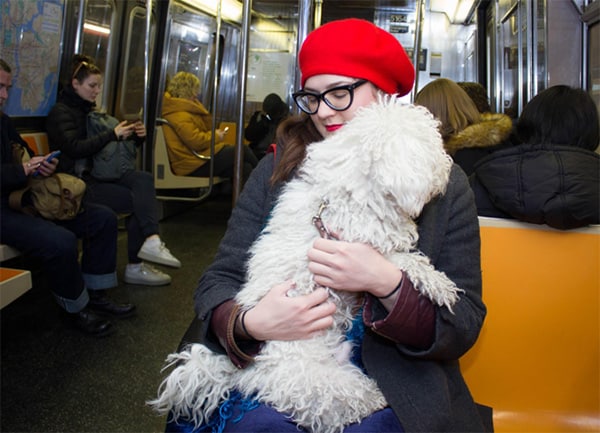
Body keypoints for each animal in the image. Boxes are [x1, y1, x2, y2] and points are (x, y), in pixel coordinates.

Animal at [151, 95, 464, 432]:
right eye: (431, 146)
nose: (448, 166)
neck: (350, 189)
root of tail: (246, 371)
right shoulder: (353, 240)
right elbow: (398, 258)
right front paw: (437, 282)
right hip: (319, 384)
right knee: (345, 404)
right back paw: (377, 398)